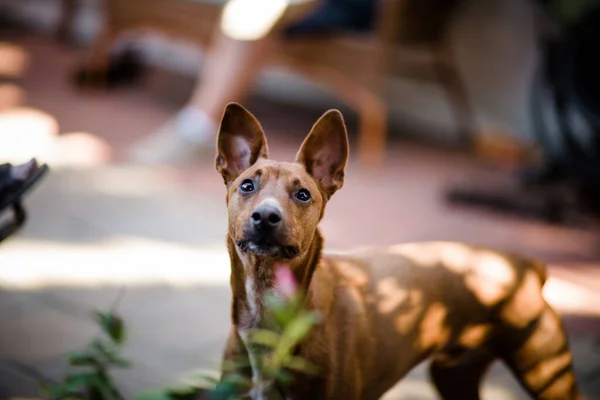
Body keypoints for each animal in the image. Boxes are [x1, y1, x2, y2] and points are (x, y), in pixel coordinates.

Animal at [214, 103, 580, 400]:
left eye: (303, 194)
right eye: (247, 185)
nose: (266, 217)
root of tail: (523, 265)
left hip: (547, 373)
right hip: (453, 376)